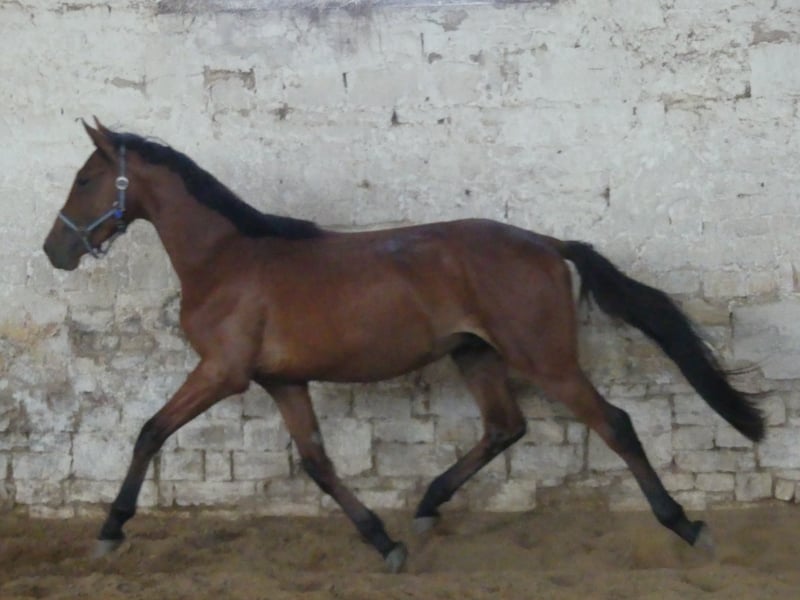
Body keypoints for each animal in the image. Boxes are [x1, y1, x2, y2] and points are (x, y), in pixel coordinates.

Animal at [43, 118, 764, 573]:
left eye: (84, 179)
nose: (55, 251)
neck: (227, 261)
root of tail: (547, 244)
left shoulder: (223, 372)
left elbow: (148, 432)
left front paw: (110, 531)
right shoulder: (282, 380)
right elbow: (318, 462)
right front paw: (382, 542)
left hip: (546, 360)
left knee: (614, 424)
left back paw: (687, 526)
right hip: (475, 353)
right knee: (505, 427)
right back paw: (425, 507)